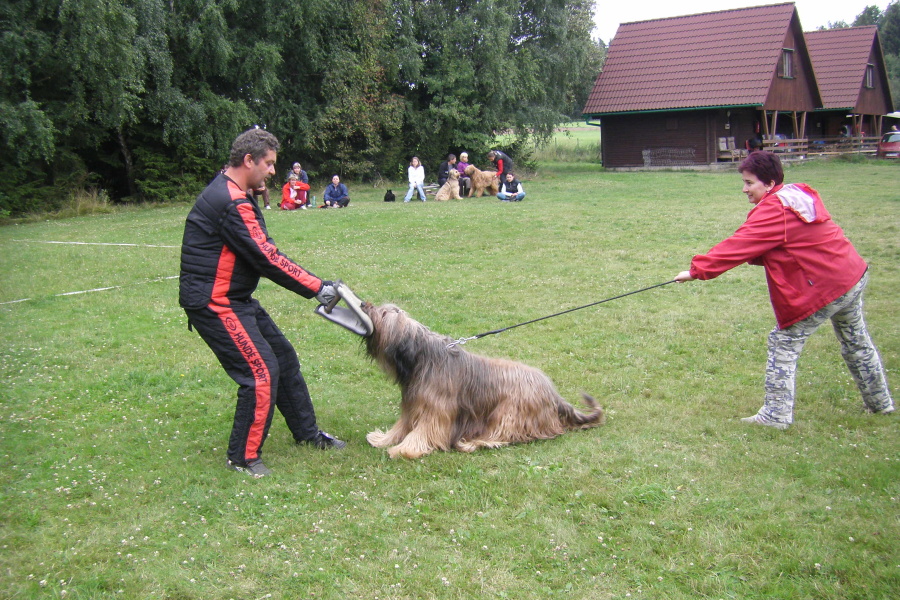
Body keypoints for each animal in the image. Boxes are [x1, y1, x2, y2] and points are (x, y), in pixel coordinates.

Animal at [358, 302, 604, 462]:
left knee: (502, 436)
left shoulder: (436, 411)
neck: (422, 357)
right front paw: (383, 439)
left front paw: (404, 450)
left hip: (509, 412)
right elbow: (402, 427)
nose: (363, 304)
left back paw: (472, 443)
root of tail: (554, 394)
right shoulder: (412, 406)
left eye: (383, 314)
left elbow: (423, 432)